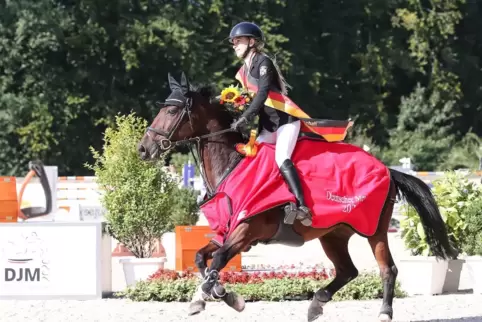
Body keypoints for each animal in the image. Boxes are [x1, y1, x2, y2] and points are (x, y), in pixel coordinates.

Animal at [137, 73, 458, 322]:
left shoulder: (244, 232)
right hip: (333, 234)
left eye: (171, 112)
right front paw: (221, 294)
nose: (143, 150)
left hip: (374, 230)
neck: (232, 166)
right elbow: (203, 260)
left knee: (387, 269)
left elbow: (216, 261)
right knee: (348, 271)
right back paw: (317, 304)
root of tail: (388, 170)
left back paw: (383, 313)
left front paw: (207, 298)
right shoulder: (228, 233)